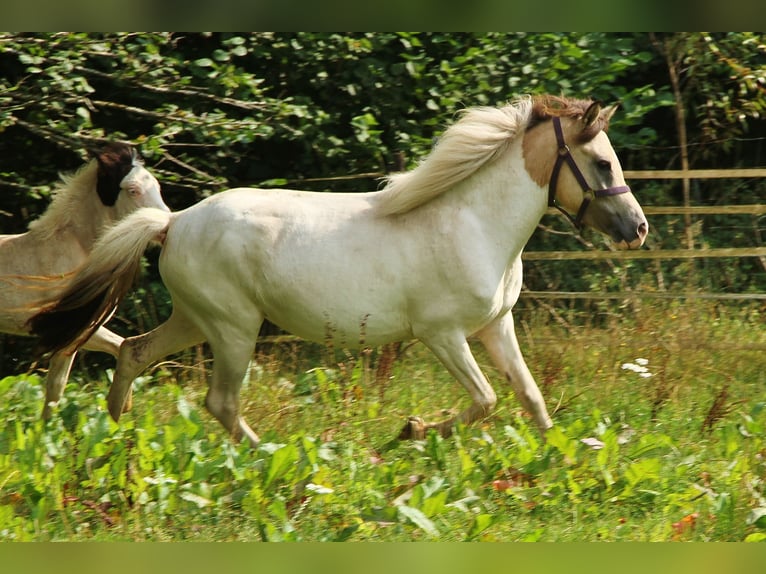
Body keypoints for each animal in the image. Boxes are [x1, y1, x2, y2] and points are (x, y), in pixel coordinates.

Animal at [30, 97, 648, 446]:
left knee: (134, 353)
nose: (637, 229)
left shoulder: (496, 326)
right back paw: (267, 457)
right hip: (233, 329)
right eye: (601, 163)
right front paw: (409, 433)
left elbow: (530, 397)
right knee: (220, 403)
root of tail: (174, 221)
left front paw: (557, 465)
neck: (471, 222)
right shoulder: (443, 334)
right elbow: (486, 401)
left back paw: (116, 440)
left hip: (196, 320)